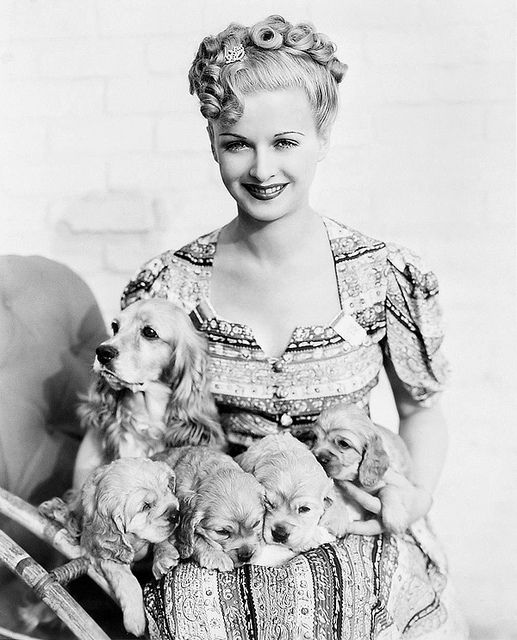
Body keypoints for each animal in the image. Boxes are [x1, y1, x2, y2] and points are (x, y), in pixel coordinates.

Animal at [79, 458, 178, 636]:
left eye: (167, 488)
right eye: (146, 506)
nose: (176, 514)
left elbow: (159, 539)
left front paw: (163, 557)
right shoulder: (106, 554)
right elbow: (128, 581)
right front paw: (136, 621)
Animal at [294, 404, 412, 536]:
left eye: (343, 443)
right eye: (315, 438)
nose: (318, 458)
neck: (353, 478)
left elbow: (388, 488)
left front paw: (396, 518)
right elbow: (333, 492)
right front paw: (336, 518)